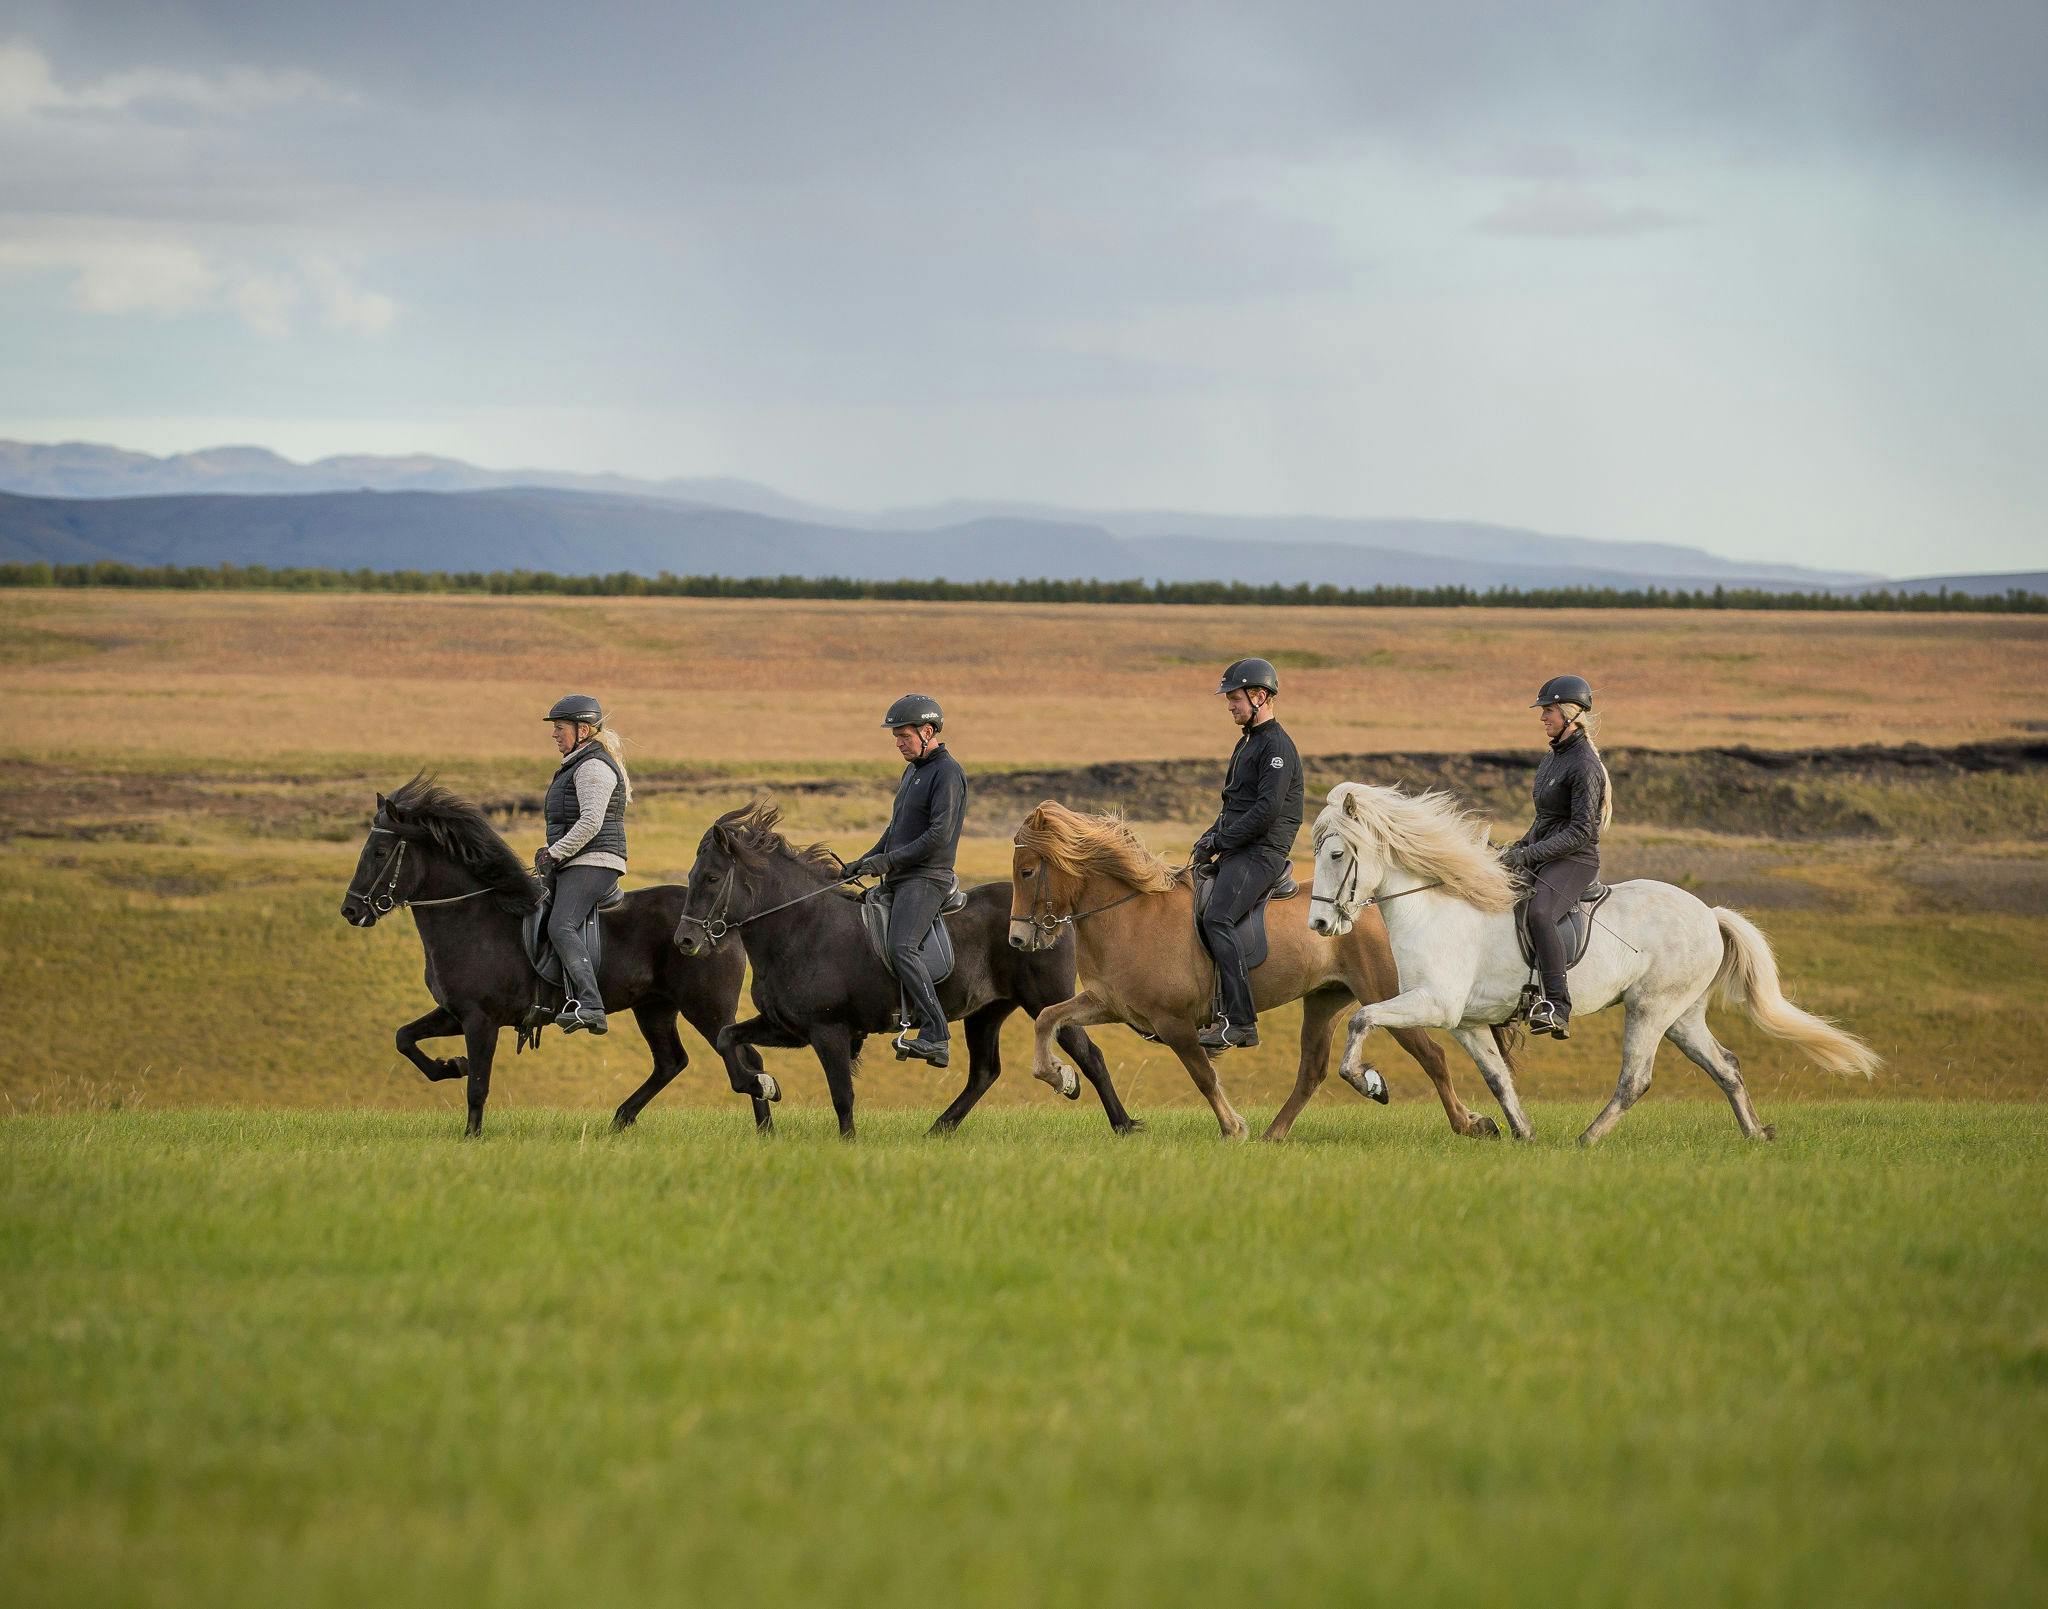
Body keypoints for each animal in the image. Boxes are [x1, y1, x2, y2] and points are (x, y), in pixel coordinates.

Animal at [339, 773, 765, 1129]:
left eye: (379, 852)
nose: (351, 910)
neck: (473, 917)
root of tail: (718, 923)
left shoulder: (480, 1020)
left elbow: (477, 1086)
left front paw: (470, 1137)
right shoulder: (454, 1012)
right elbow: (404, 1038)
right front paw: (451, 1065)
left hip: (706, 1007)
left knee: (745, 1059)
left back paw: (762, 1119)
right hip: (654, 1008)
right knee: (671, 1062)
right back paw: (622, 1120)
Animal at [679, 798, 1146, 1129]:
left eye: (712, 878)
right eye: (692, 876)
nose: (685, 940)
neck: (800, 928)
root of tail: (1046, 919)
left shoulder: (829, 1031)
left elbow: (842, 1097)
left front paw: (847, 1146)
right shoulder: (789, 1027)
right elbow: (726, 1037)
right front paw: (762, 1085)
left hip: (1044, 998)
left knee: (1089, 1054)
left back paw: (1120, 1123)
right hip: (986, 1012)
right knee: (984, 1072)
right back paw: (939, 1129)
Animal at [999, 802, 1499, 1138]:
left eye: (1027, 872)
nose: (1018, 941)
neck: (1129, 913)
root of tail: (1370, 908)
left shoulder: (1174, 1022)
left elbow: (1203, 1075)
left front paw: (1232, 1126)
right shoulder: (1111, 1004)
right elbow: (1048, 1019)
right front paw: (1060, 1078)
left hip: (1384, 996)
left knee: (1432, 1056)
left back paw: (1470, 1123)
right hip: (1325, 1000)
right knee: (1312, 1070)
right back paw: (1274, 1135)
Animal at [1310, 781, 1875, 1138]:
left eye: (1336, 855)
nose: (1318, 925)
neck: (1435, 907)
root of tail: (1708, 913)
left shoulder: (1433, 1003)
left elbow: (1362, 1019)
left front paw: (1370, 1083)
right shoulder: (1466, 1021)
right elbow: (1498, 1079)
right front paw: (1524, 1134)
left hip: (1649, 1008)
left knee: (1636, 1079)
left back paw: (1588, 1139)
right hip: (1682, 1016)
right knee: (1727, 1066)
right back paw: (1756, 1134)